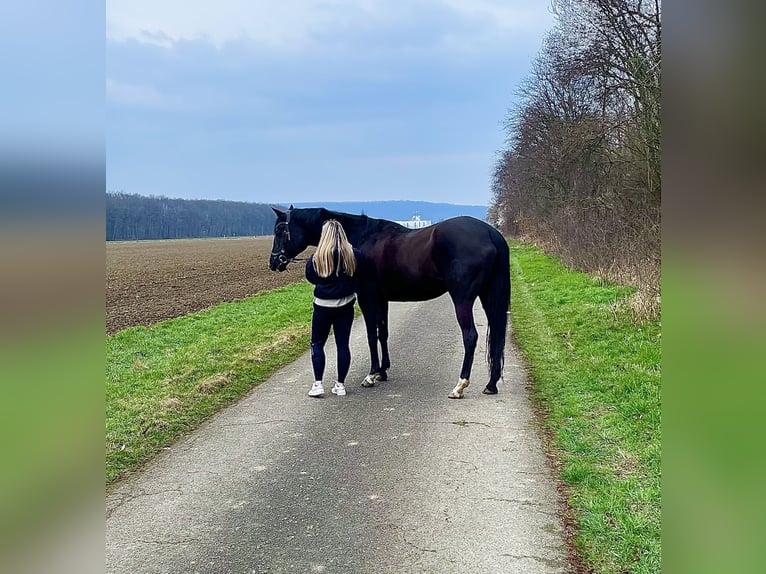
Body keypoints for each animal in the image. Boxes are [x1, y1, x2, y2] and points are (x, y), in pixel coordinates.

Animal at [268, 207, 510, 400]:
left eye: (280, 231)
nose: (274, 262)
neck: (362, 238)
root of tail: (491, 233)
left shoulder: (367, 297)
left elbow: (370, 335)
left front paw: (371, 374)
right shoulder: (381, 299)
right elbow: (382, 333)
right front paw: (383, 371)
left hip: (462, 299)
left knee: (470, 337)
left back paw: (459, 386)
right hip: (488, 297)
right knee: (497, 334)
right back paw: (491, 384)